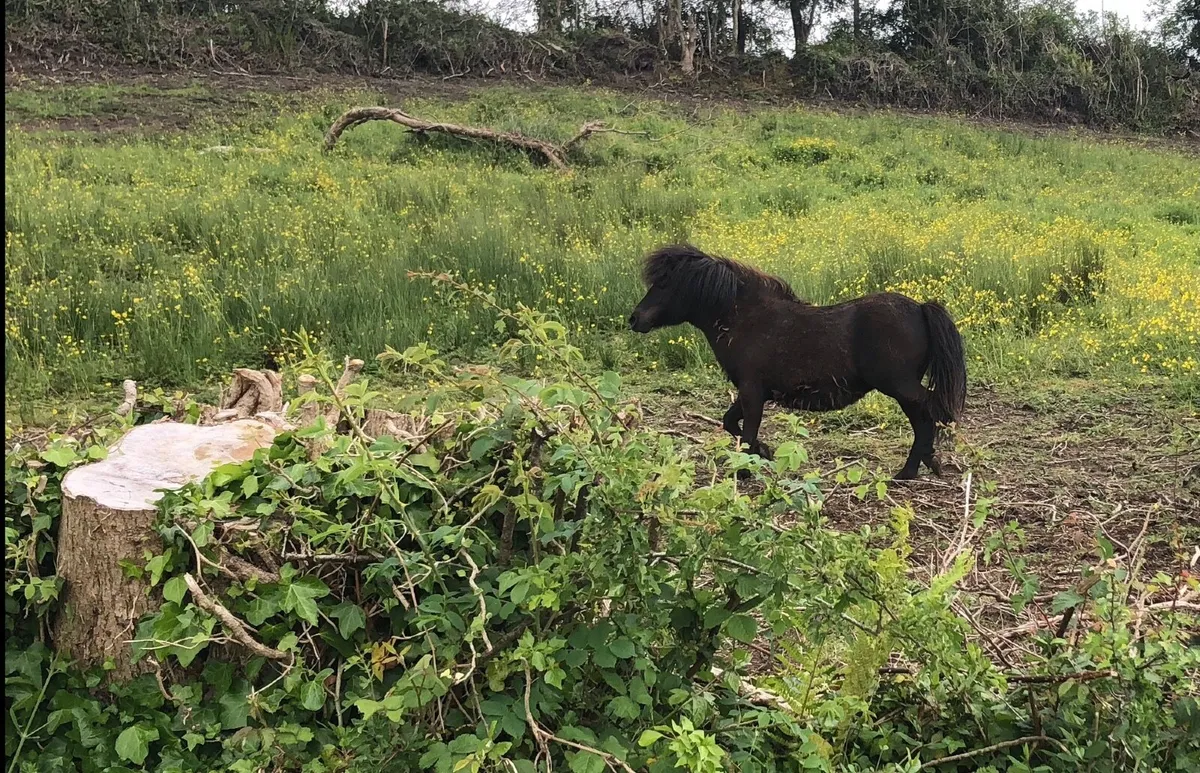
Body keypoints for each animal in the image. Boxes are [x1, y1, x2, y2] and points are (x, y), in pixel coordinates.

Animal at [628, 244, 967, 480]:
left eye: (665, 284)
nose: (634, 319)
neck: (746, 320)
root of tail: (920, 308)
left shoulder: (752, 392)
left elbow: (745, 431)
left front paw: (746, 470)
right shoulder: (753, 392)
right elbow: (730, 423)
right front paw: (764, 452)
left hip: (900, 386)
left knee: (929, 413)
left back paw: (912, 470)